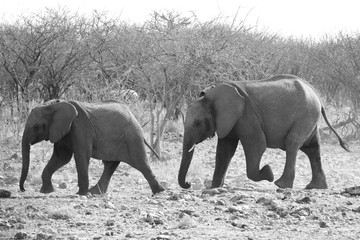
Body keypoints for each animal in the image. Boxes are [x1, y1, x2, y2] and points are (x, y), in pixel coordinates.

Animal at [20, 99, 164, 195]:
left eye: (36, 127)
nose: (23, 189)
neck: (53, 106)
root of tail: (133, 115)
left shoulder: (80, 128)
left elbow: (81, 155)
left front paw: (81, 194)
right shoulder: (62, 131)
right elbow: (61, 157)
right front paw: (46, 192)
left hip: (132, 136)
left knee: (141, 163)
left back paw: (159, 192)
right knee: (110, 165)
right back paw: (96, 192)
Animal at [179, 74, 350, 190]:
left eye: (197, 123)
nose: (188, 183)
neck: (214, 95)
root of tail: (317, 95)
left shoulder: (246, 117)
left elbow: (256, 146)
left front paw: (268, 173)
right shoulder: (228, 121)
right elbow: (224, 151)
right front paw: (214, 187)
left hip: (305, 115)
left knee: (292, 144)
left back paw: (281, 184)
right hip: (309, 117)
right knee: (312, 148)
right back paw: (315, 187)